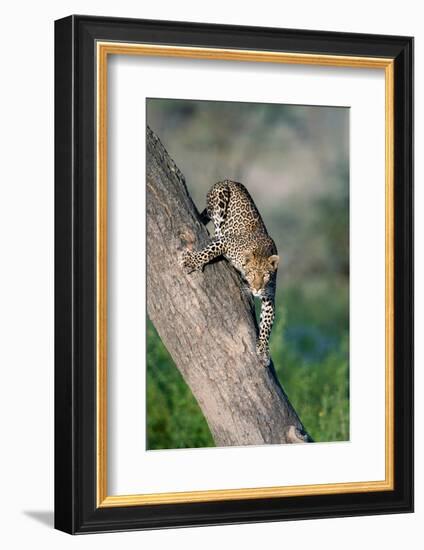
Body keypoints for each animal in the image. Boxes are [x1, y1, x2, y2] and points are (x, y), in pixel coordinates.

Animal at [181, 179, 280, 368]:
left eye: (265, 275)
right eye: (252, 274)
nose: (257, 289)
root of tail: (230, 180)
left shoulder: (269, 296)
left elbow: (266, 325)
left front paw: (263, 351)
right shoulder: (227, 242)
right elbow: (208, 252)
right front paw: (191, 261)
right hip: (221, 194)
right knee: (215, 222)